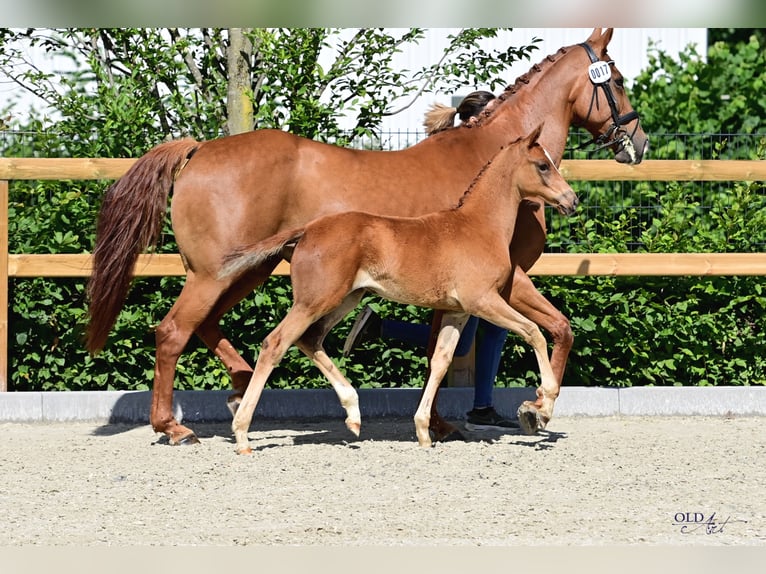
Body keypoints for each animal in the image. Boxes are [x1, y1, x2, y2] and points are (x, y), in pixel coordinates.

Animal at [219, 126, 580, 454]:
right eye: (542, 165)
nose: (572, 200)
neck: (478, 226)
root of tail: (307, 230)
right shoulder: (483, 301)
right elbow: (533, 331)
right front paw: (542, 404)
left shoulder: (457, 311)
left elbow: (440, 360)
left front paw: (423, 431)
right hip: (315, 301)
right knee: (275, 343)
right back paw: (242, 435)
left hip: (346, 299)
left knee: (310, 339)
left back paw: (353, 415)